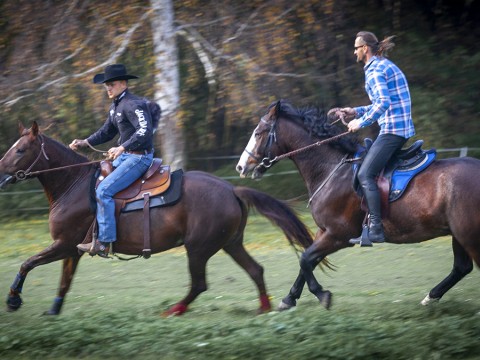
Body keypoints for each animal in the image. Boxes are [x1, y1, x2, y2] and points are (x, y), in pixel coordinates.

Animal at [0, 122, 316, 316]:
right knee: (255, 270)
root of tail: (231, 189)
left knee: (199, 284)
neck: (74, 184)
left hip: (198, 248)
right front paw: (53, 310)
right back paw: (263, 309)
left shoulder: (63, 245)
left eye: (20, 149)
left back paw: (173, 310)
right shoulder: (71, 250)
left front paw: (13, 299)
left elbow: (27, 263)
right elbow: (64, 282)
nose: (0, 173)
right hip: (230, 243)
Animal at [236, 100, 480, 310]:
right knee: (461, 267)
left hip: (467, 234)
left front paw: (322, 295)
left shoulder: (339, 235)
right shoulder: (324, 232)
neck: (332, 169)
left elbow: (306, 260)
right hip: (458, 233)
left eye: (258, 133)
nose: (241, 167)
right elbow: (307, 261)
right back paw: (431, 297)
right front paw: (289, 299)